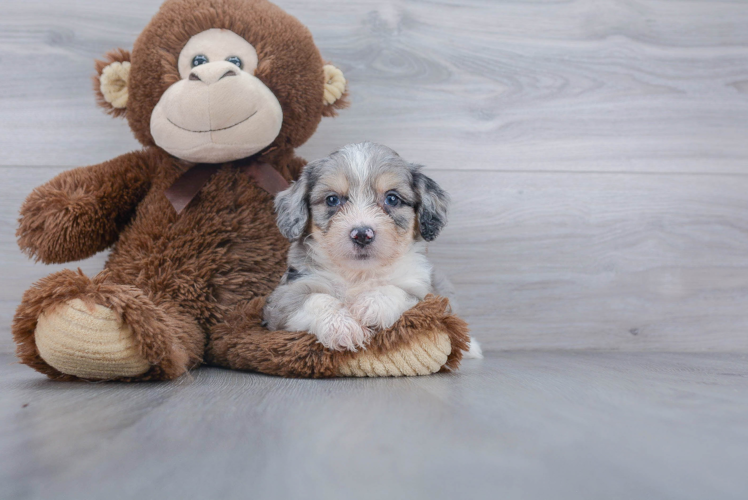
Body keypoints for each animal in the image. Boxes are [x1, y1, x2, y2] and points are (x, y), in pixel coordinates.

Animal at [262, 141, 486, 356]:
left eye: (392, 198)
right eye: (332, 199)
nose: (362, 234)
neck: (359, 274)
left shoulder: (428, 297)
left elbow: (399, 291)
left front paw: (370, 305)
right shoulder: (284, 297)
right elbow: (316, 299)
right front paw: (342, 325)